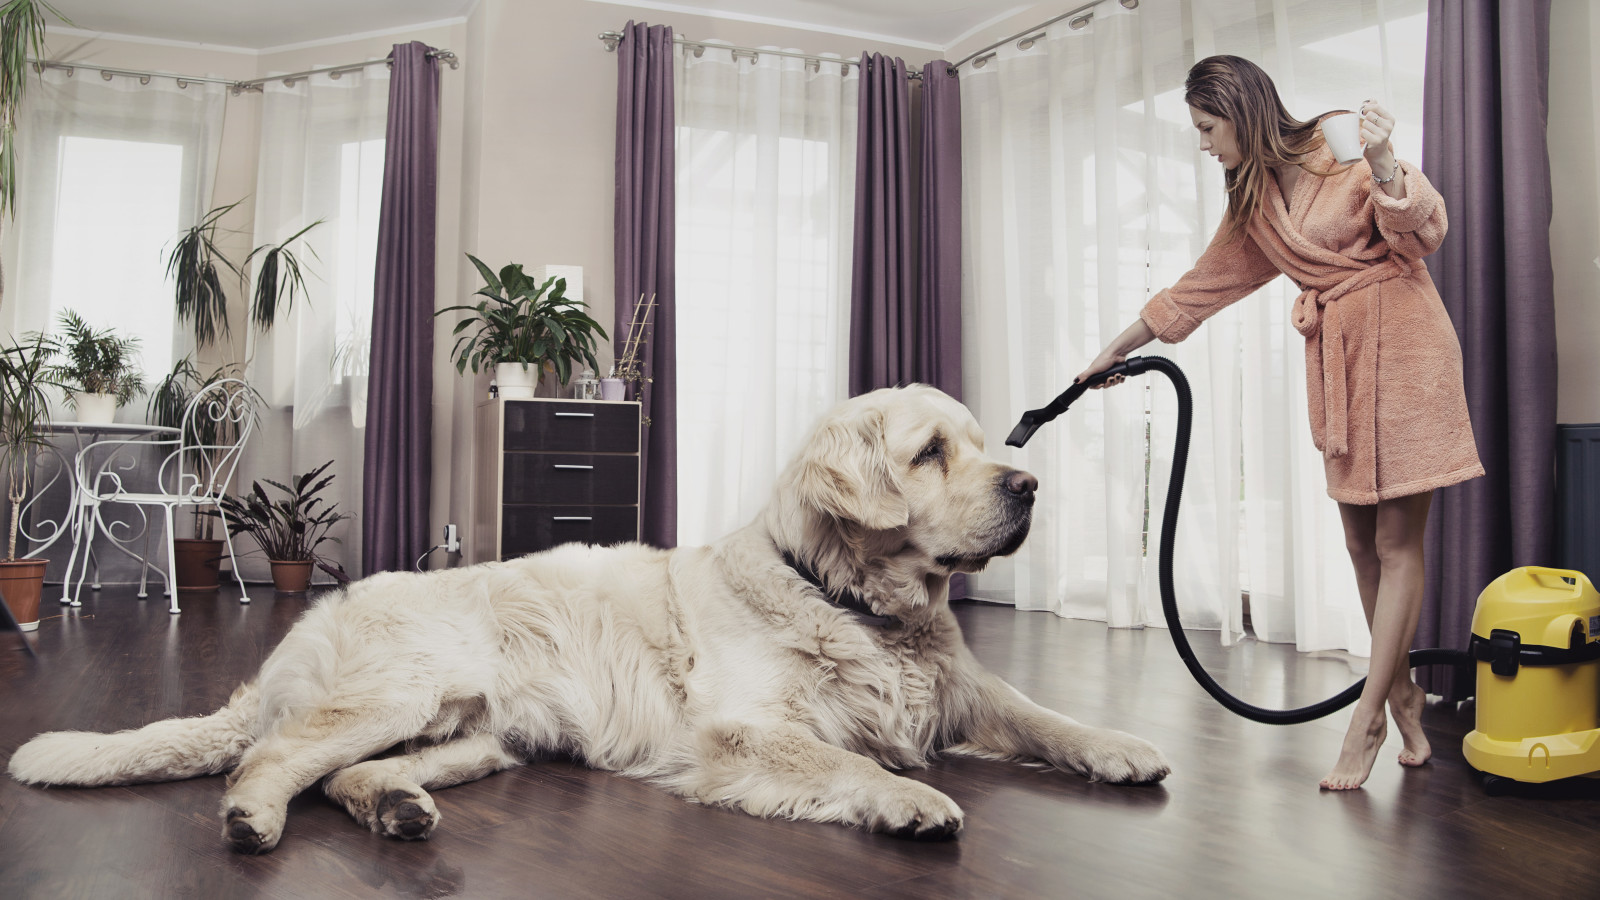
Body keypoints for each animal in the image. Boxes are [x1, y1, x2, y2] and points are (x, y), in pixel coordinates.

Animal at [6, 384, 1171, 845]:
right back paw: (252, 817)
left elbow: (1040, 715)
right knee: (274, 758)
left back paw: (395, 809)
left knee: (341, 774)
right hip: (398, 689)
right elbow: (841, 757)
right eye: (930, 453)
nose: (1029, 486)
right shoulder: (743, 729)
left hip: (473, 735)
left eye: (984, 444)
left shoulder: (962, 689)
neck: (851, 600)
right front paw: (909, 798)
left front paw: (1120, 747)